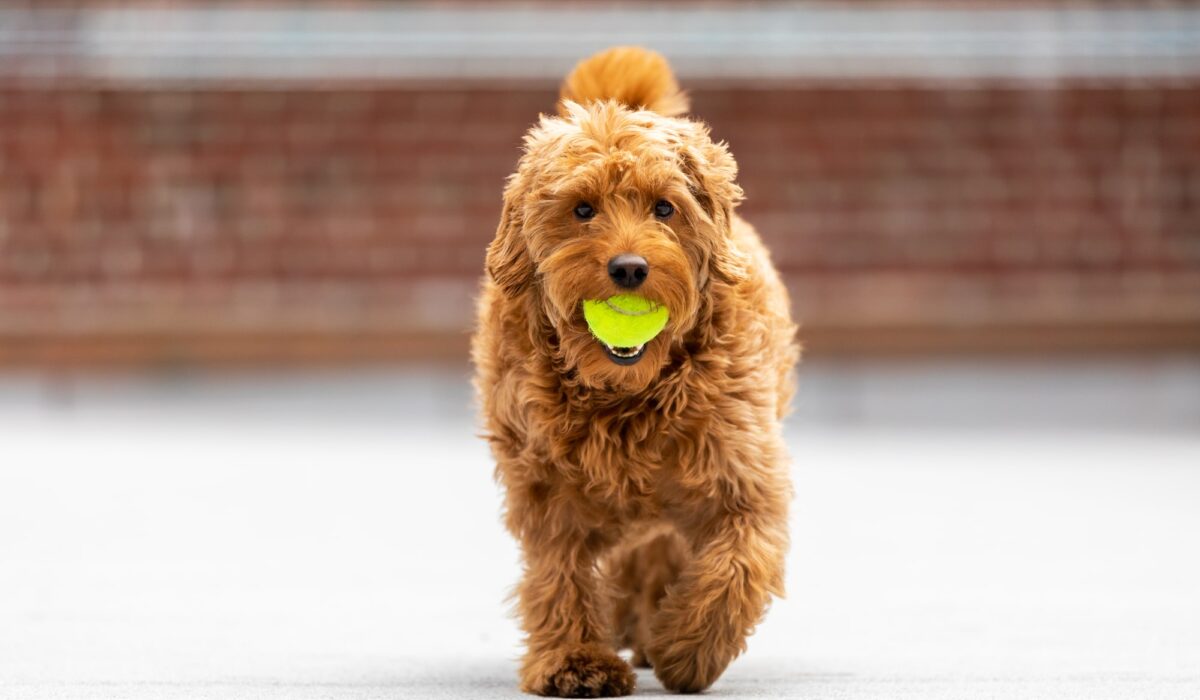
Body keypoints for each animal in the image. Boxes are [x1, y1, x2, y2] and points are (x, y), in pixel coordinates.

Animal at [472, 48, 801, 696]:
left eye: (664, 207)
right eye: (582, 209)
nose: (628, 268)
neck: (625, 394)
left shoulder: (742, 472)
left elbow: (738, 566)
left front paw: (686, 648)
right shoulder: (546, 487)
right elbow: (559, 572)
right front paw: (575, 659)